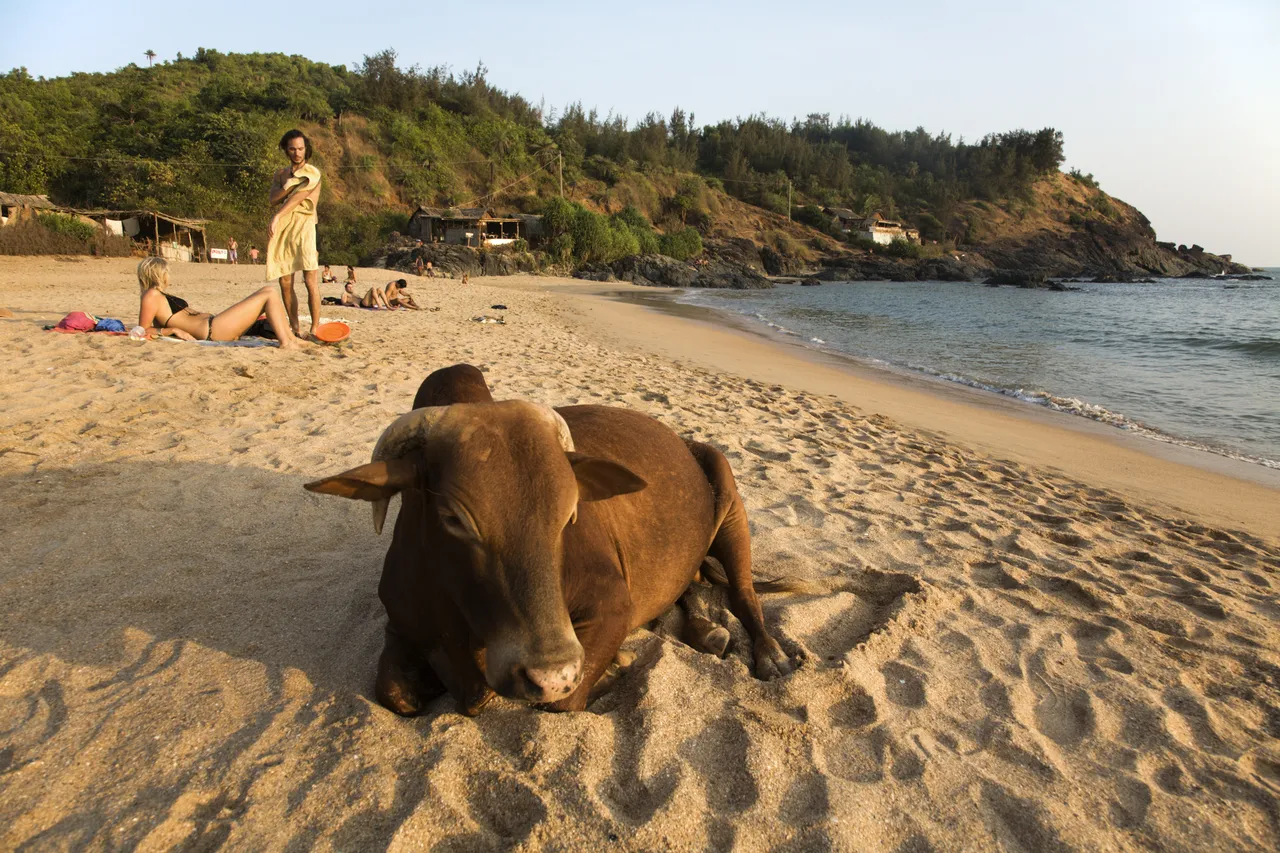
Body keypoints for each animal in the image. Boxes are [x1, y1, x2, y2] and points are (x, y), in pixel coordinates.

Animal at [305, 364, 793, 715]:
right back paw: (706, 631)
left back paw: (768, 653)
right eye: (452, 518)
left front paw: (614, 667)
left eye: (568, 514)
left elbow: (564, 700)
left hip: (728, 494)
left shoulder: (612, 604)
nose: (550, 673)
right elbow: (395, 695)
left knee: (744, 594)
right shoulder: (399, 620)